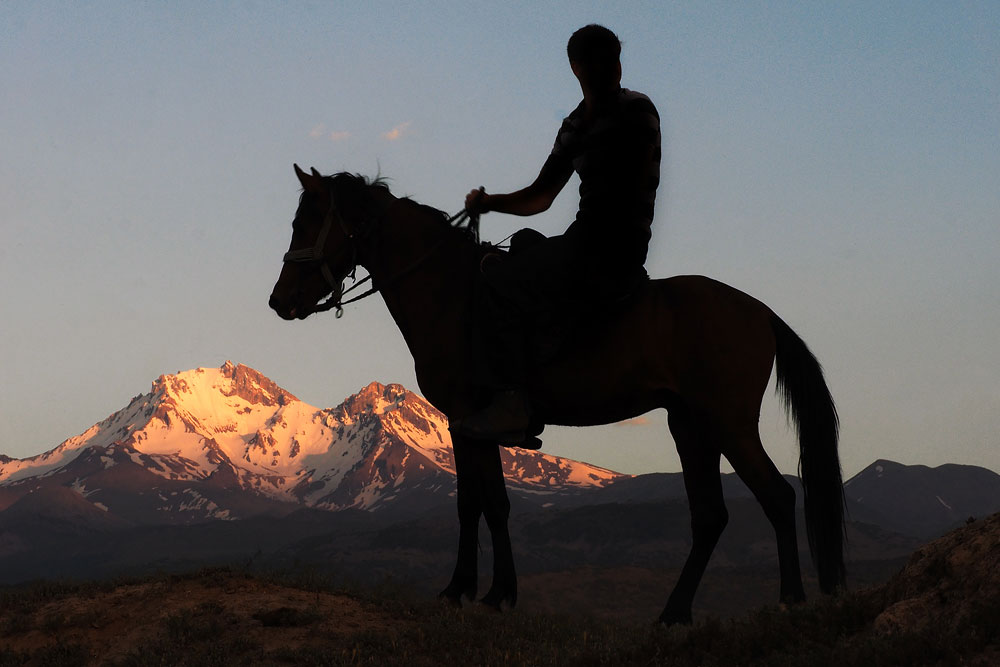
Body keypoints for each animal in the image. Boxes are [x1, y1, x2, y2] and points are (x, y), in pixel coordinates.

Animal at [268, 164, 844, 624]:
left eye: (304, 221)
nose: (279, 301)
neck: (453, 298)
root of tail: (760, 313)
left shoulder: (465, 416)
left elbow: (476, 504)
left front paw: (466, 590)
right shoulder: (474, 423)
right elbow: (490, 503)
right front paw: (494, 591)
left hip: (727, 421)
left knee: (777, 496)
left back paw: (790, 599)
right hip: (689, 425)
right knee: (710, 517)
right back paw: (673, 613)